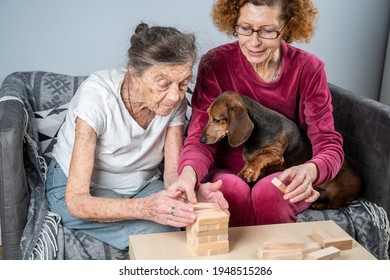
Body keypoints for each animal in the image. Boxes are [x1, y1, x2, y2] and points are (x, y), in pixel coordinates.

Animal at [200, 91, 362, 209]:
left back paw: (318, 205)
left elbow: (260, 158)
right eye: (208, 115)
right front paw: (242, 173)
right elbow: (247, 164)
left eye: (216, 119)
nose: (201, 140)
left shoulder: (276, 155)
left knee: (334, 204)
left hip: (338, 193)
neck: (257, 132)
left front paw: (252, 172)